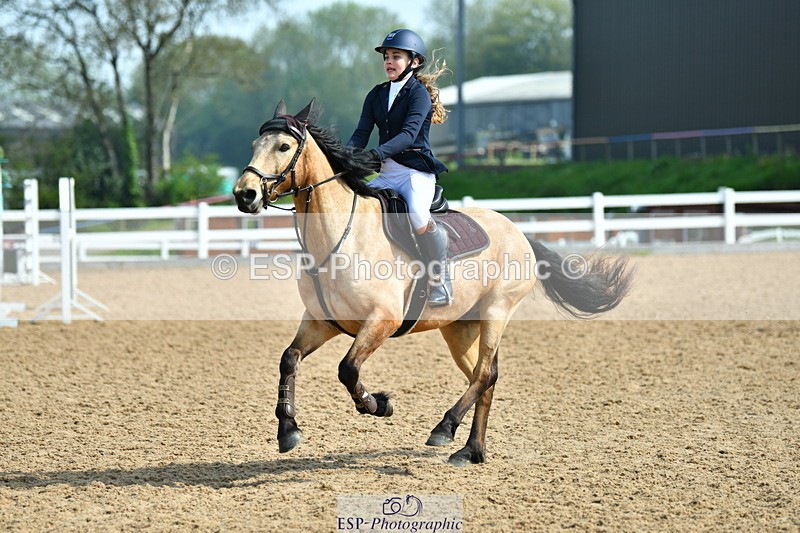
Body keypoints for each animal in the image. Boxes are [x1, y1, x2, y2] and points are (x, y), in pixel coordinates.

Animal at [232, 100, 634, 466]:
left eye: (284, 147)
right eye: (254, 145)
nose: (244, 194)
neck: (337, 239)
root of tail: (518, 231)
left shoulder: (382, 320)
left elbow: (347, 369)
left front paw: (378, 404)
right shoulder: (322, 322)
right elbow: (289, 359)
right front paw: (288, 430)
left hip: (497, 311)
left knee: (485, 373)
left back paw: (445, 428)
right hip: (459, 329)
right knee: (484, 378)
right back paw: (471, 451)